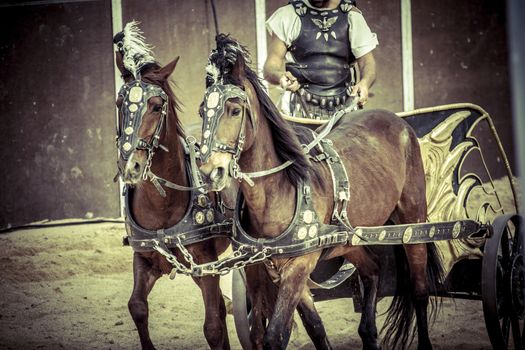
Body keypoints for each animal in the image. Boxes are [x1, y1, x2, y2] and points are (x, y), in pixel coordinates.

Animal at [112, 23, 229, 348]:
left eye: (156, 105)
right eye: (120, 103)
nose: (130, 166)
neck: (163, 202)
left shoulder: (206, 263)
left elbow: (213, 326)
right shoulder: (144, 258)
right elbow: (137, 307)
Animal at [200, 34, 442, 350]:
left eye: (234, 110)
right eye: (202, 112)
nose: (209, 171)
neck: (277, 193)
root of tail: (399, 123)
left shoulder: (299, 265)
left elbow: (275, 334)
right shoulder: (264, 268)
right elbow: (309, 326)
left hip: (413, 220)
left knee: (419, 291)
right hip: (350, 240)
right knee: (373, 269)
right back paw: (369, 332)